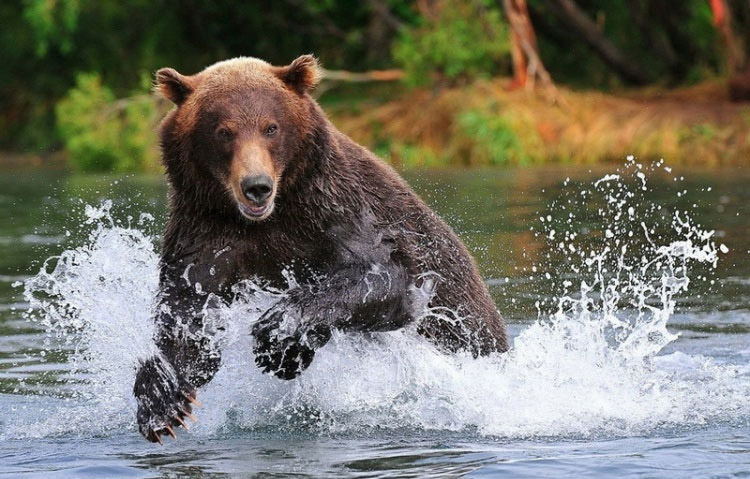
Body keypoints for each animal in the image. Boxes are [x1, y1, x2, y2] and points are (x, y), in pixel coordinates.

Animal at [135, 57, 512, 446]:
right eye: (224, 131)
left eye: (271, 127)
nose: (256, 186)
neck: (269, 217)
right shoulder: (206, 229)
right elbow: (187, 309)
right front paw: (162, 402)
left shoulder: (335, 210)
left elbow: (384, 277)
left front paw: (277, 338)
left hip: (465, 324)